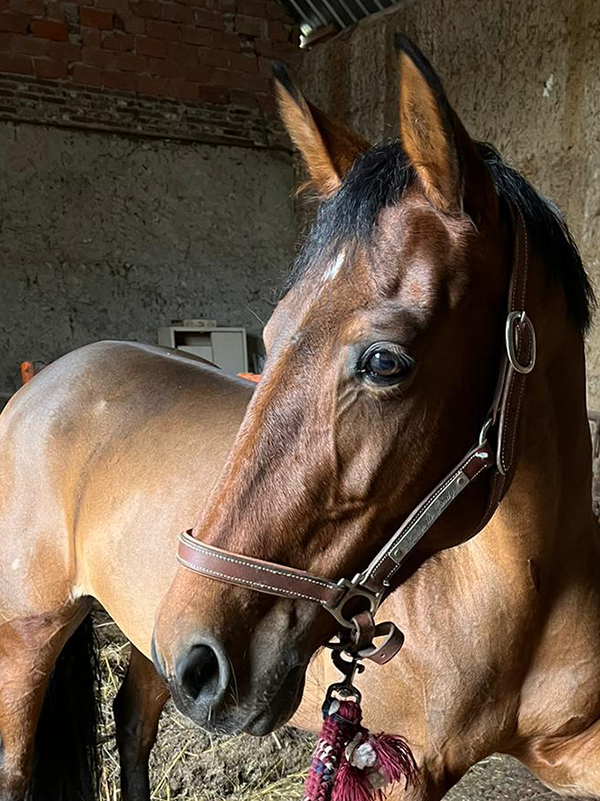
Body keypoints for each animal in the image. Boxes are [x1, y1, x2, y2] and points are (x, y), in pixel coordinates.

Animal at [0, 35, 597, 801]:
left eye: (384, 362)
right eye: (273, 332)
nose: (204, 660)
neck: (527, 592)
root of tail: (42, 382)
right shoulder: (399, 771)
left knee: (132, 720)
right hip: (32, 630)